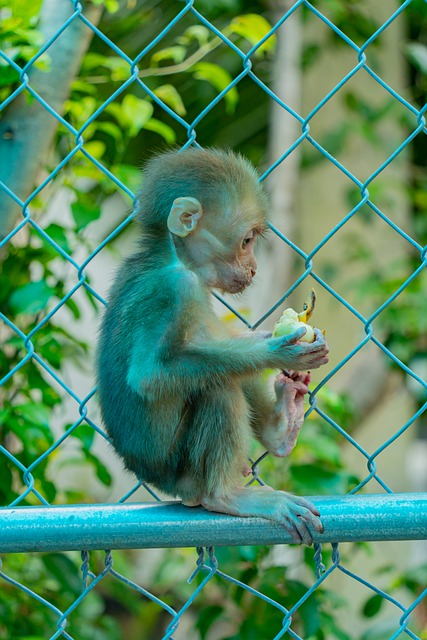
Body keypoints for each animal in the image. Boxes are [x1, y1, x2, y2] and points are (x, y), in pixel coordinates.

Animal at [97, 146, 330, 544]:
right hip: (183, 474)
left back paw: (280, 429)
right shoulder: (176, 289)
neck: (173, 256)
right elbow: (149, 376)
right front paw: (276, 350)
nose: (254, 268)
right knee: (217, 386)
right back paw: (225, 495)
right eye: (247, 240)